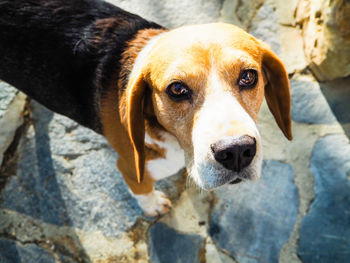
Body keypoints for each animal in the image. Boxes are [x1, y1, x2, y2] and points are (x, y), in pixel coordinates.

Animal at [0, 0, 292, 217]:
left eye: (248, 77)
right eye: (177, 89)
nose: (237, 151)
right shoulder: (131, 167)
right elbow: (141, 189)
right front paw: (153, 205)